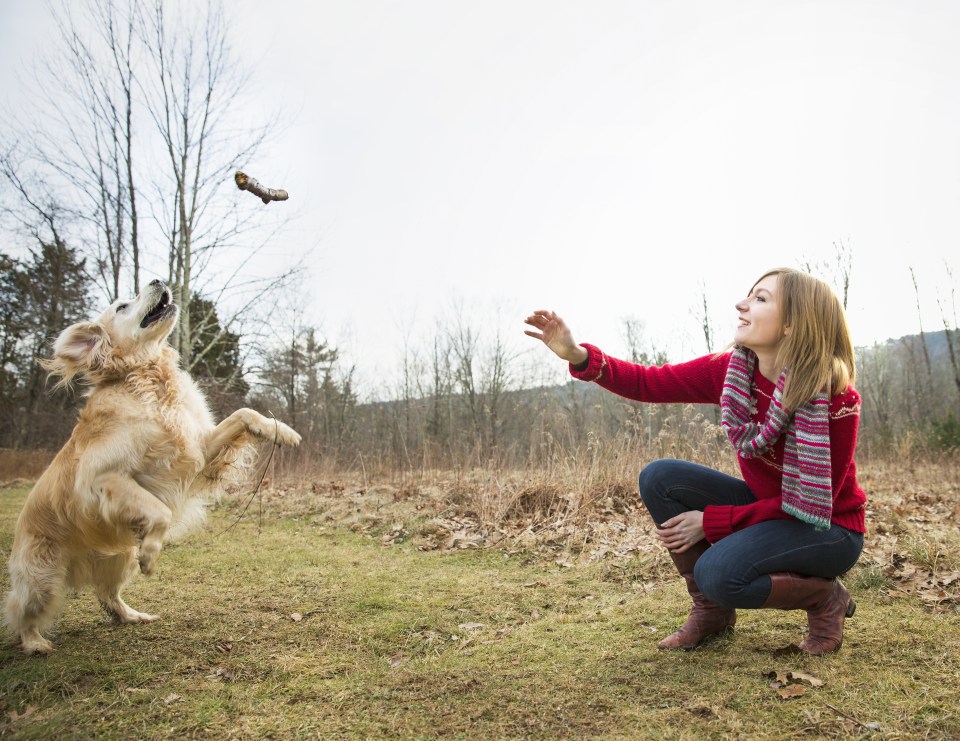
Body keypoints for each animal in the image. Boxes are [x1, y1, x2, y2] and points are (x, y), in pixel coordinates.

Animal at [3, 278, 300, 652]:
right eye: (121, 306)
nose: (157, 280)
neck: (146, 376)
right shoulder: (100, 479)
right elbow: (160, 512)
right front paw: (152, 551)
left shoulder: (198, 450)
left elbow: (244, 413)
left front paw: (281, 431)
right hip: (41, 578)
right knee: (20, 611)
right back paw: (35, 643)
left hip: (117, 560)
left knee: (107, 595)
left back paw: (131, 616)